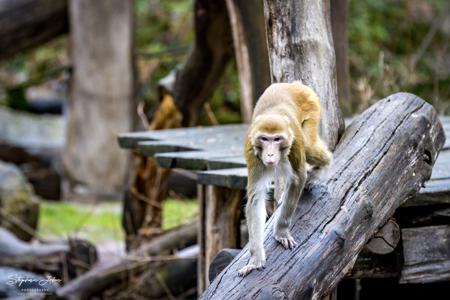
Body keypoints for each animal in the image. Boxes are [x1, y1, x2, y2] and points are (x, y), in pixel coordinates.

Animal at [239, 80, 330, 276]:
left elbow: (298, 178)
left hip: (312, 106)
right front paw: (256, 260)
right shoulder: (253, 154)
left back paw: (322, 168)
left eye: (277, 139)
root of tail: (292, 84)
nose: (270, 154)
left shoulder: (294, 145)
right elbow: (256, 198)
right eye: (264, 139)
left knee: (310, 149)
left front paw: (281, 232)